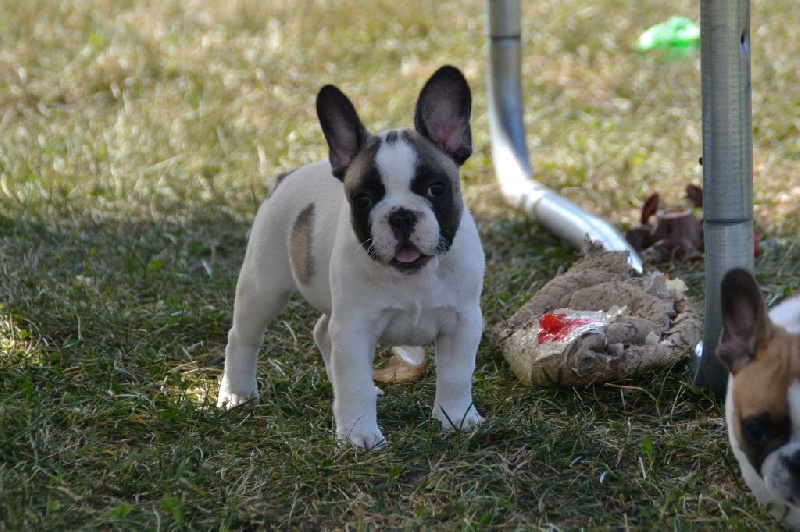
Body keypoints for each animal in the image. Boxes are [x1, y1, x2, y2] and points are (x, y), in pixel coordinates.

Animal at [216, 66, 486, 449]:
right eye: (363, 199)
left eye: (436, 188)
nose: (401, 215)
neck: (414, 278)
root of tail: (287, 176)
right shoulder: (356, 328)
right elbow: (354, 382)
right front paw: (359, 433)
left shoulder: (463, 322)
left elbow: (457, 375)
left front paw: (457, 417)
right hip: (264, 286)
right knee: (243, 336)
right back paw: (238, 392)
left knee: (323, 332)